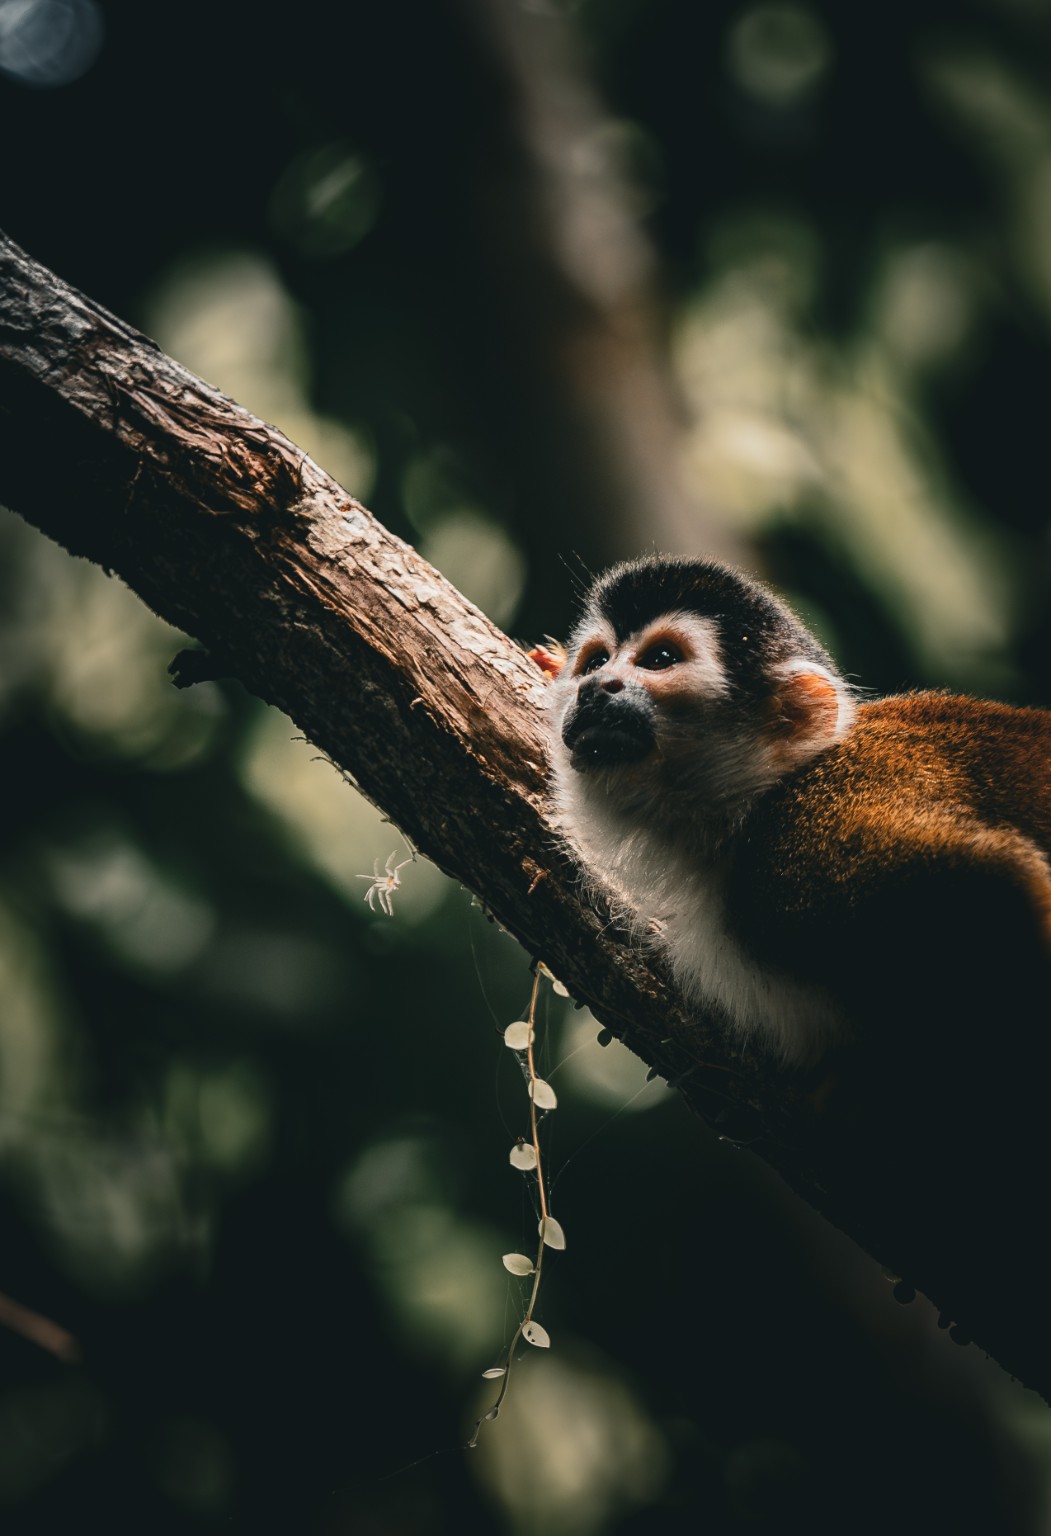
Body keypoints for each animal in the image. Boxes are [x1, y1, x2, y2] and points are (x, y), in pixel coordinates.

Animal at [538, 555, 1051, 1071]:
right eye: (596, 662)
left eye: (660, 660)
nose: (595, 687)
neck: (751, 808)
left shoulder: (804, 839)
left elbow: (1001, 879)